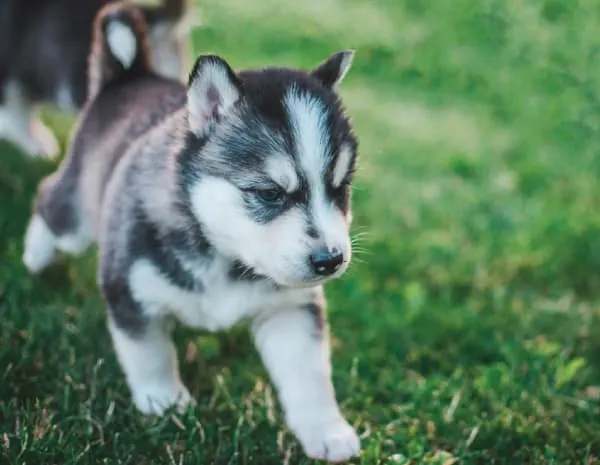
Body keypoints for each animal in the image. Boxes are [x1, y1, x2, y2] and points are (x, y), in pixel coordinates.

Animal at [22, 0, 360, 460]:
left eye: (340, 188)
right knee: (48, 200)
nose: (331, 260)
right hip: (77, 215)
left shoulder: (290, 310)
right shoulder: (129, 290)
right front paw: (165, 403)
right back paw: (35, 257)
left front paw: (326, 429)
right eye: (270, 193)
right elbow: (150, 354)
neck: (221, 253)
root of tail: (132, 76)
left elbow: (309, 375)